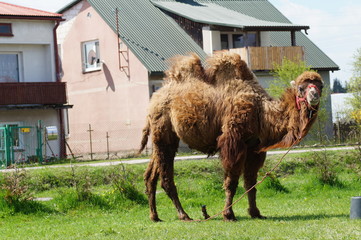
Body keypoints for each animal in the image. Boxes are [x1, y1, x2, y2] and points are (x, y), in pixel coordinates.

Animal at [139, 51, 324, 222]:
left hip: (163, 137)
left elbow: (251, 182)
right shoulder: (234, 142)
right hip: (164, 130)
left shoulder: (254, 148)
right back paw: (183, 215)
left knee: (151, 175)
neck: (262, 113)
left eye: (319, 86)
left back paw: (154, 216)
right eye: (301, 87)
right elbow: (232, 182)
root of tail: (154, 98)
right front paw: (228, 214)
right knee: (166, 178)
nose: (314, 96)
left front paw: (255, 212)